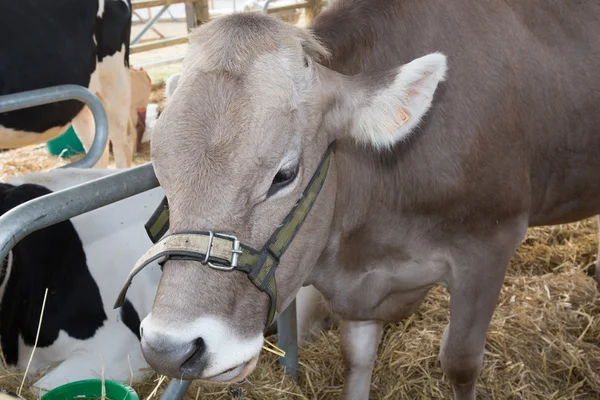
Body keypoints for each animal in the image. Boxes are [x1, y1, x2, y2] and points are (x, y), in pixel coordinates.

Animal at [127, 1, 600, 398]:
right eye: (161, 175)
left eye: (284, 175)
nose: (170, 349)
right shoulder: (361, 288)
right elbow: (355, 358)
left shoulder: (490, 247)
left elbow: (460, 362)